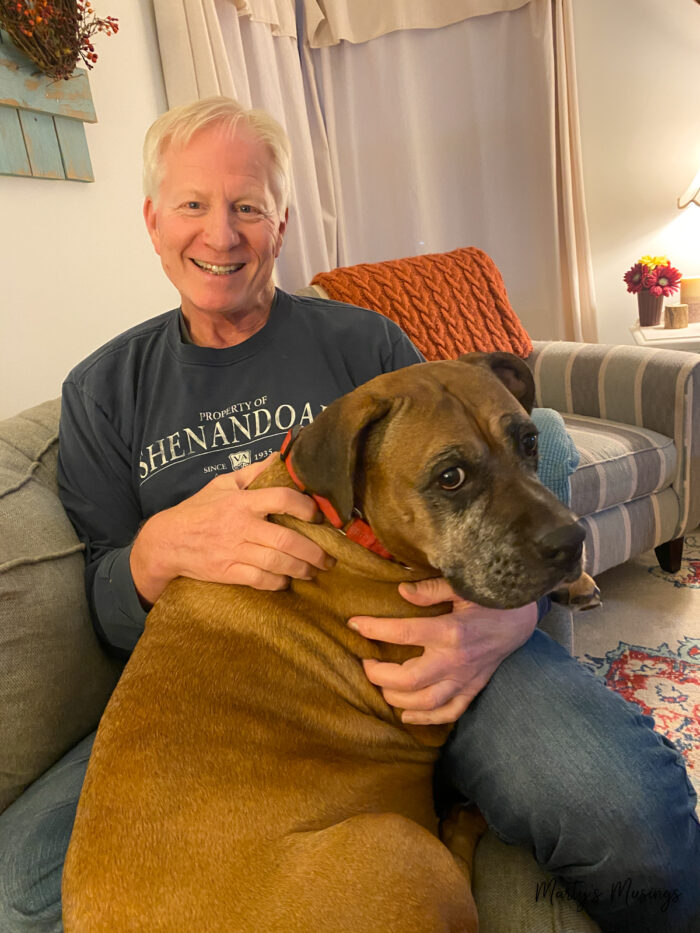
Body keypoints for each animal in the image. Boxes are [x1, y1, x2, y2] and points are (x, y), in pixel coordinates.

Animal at [61, 352, 584, 932]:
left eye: (530, 443)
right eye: (451, 478)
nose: (571, 540)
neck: (347, 524)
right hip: (399, 844)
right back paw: (462, 819)